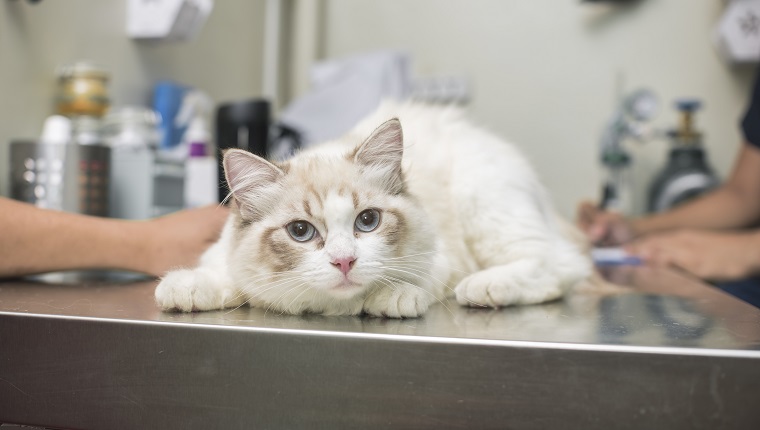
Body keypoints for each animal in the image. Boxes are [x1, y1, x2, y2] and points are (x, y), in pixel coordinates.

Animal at [156, 102, 592, 318]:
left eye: (368, 221)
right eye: (300, 232)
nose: (344, 262)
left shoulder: (442, 257)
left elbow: (416, 279)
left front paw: (392, 297)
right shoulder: (227, 256)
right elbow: (223, 275)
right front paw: (186, 288)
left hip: (483, 201)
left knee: (560, 267)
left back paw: (483, 288)